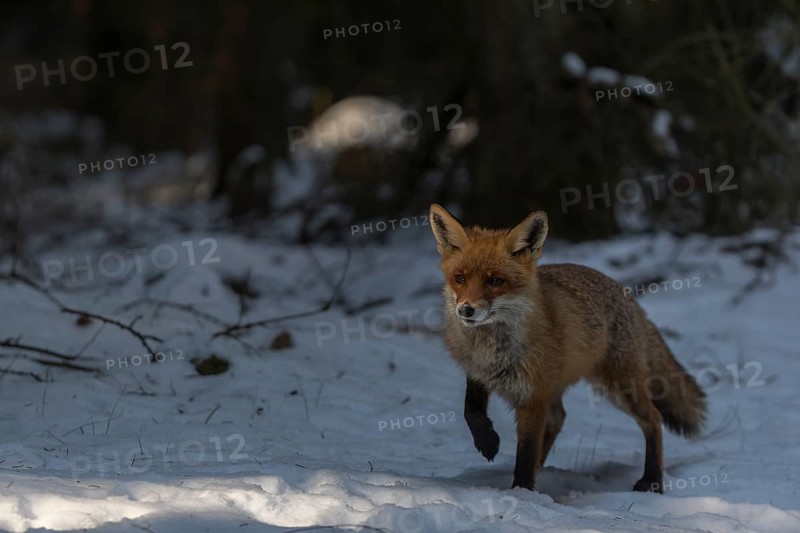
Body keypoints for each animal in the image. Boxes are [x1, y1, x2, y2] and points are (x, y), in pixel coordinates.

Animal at [429, 203, 706, 493]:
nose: (466, 310)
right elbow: (470, 410)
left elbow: (526, 452)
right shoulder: (478, 373)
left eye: (495, 281)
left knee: (653, 418)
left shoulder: (533, 396)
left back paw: (651, 480)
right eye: (460, 278)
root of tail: (627, 294)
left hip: (619, 387)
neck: (492, 348)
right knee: (559, 418)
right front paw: (488, 442)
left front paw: (522, 492)